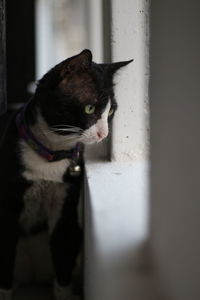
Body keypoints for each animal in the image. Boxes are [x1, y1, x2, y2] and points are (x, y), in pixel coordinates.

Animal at [0, 50, 132, 298]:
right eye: (89, 108)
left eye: (110, 111)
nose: (104, 133)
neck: (52, 154)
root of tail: (33, 276)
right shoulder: (8, 204)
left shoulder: (66, 204)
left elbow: (62, 256)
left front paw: (64, 294)